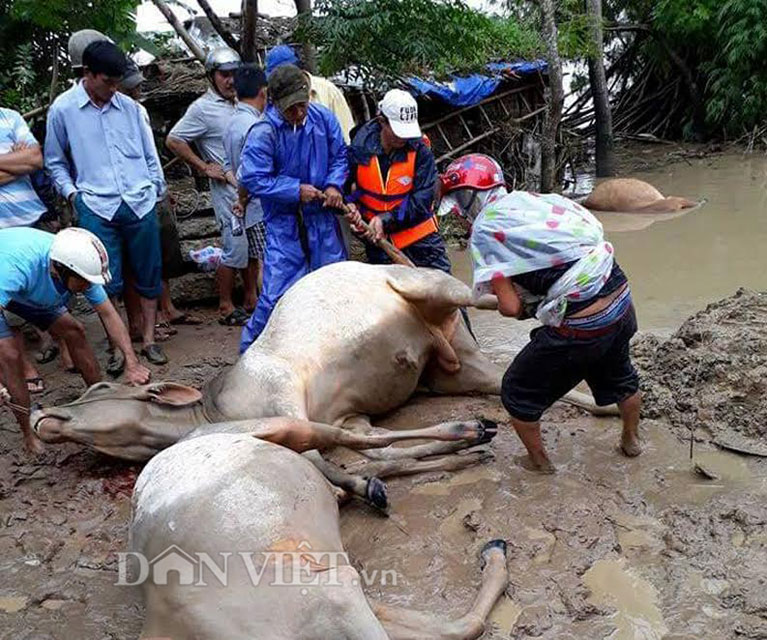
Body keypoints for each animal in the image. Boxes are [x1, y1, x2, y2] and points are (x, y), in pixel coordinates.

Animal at [30, 264, 608, 504]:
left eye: (98, 391)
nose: (41, 416)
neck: (215, 411)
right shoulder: (348, 416)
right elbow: (375, 450)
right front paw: (453, 450)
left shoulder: (285, 395)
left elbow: (330, 459)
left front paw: (365, 485)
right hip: (453, 371)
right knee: (508, 382)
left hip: (432, 286)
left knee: (481, 295)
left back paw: (540, 301)